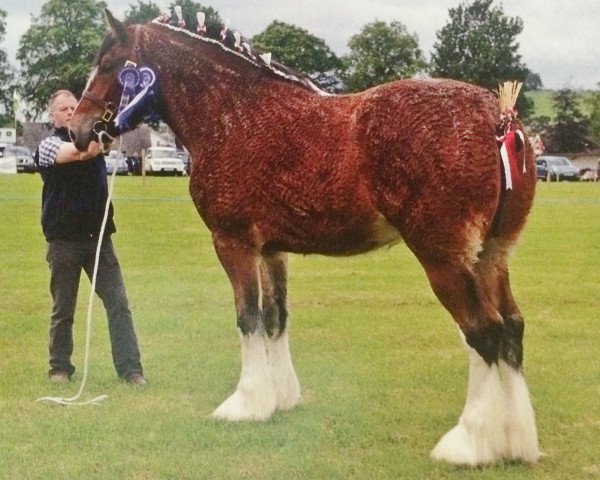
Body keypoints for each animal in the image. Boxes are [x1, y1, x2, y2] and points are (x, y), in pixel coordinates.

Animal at [68, 10, 540, 464]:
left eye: (108, 65)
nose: (77, 130)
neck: (233, 115)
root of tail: (498, 117)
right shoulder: (272, 251)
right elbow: (275, 317)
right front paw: (279, 400)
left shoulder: (233, 243)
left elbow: (248, 317)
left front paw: (245, 403)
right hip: (490, 257)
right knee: (510, 329)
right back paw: (516, 442)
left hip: (444, 259)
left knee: (482, 332)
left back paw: (469, 444)